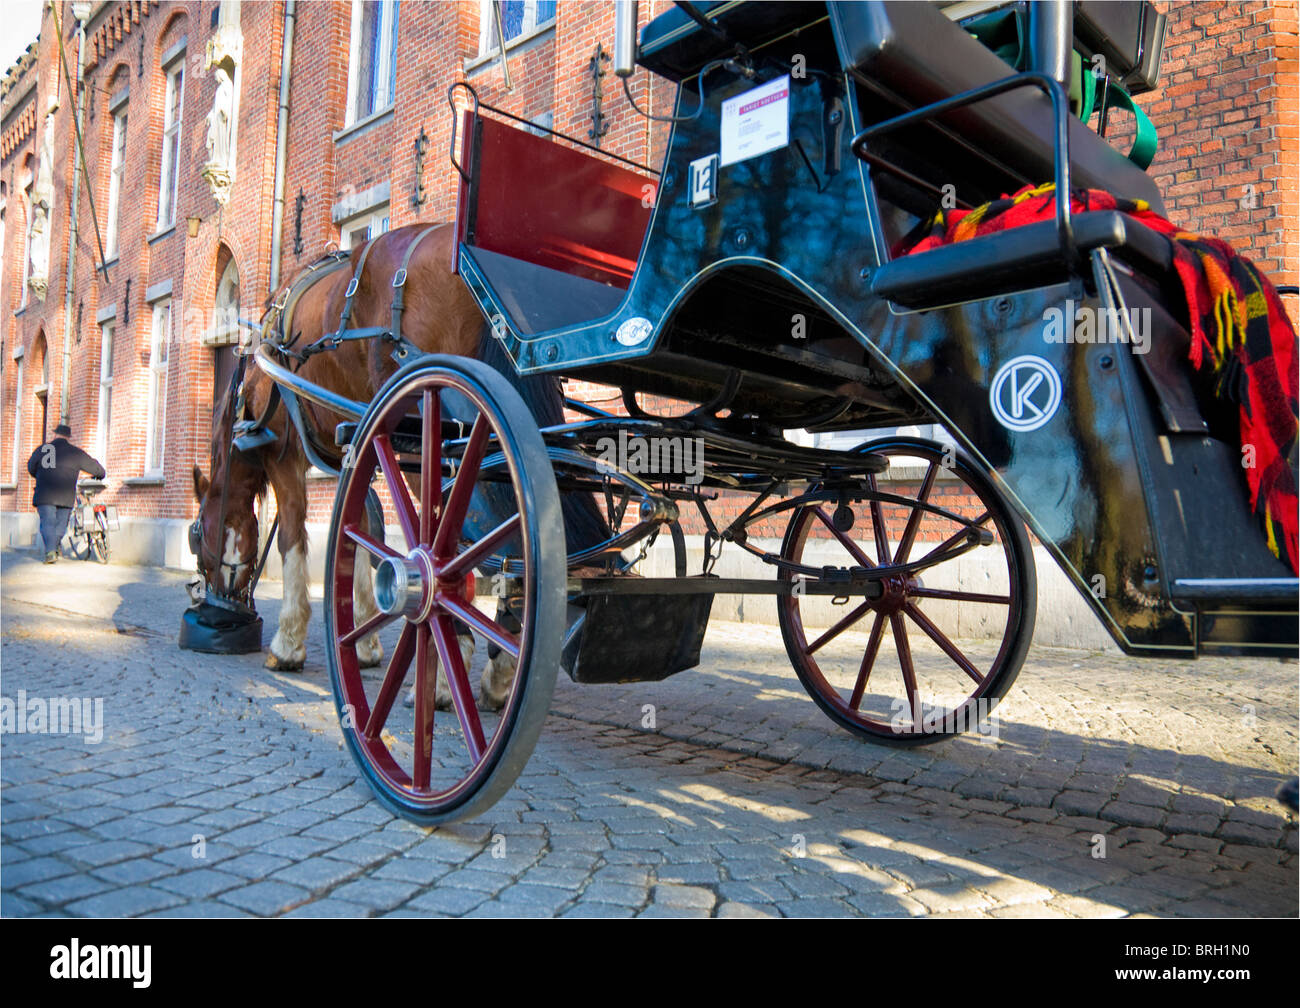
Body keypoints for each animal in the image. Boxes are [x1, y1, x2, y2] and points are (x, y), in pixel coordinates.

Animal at [189, 222, 595, 707]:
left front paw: (288, 643)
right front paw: (364, 640)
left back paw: (443, 678)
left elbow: (292, 537)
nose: (216, 603)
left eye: (196, 537)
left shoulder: (284, 457)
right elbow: (362, 533)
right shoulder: (358, 445)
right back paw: (498, 669)